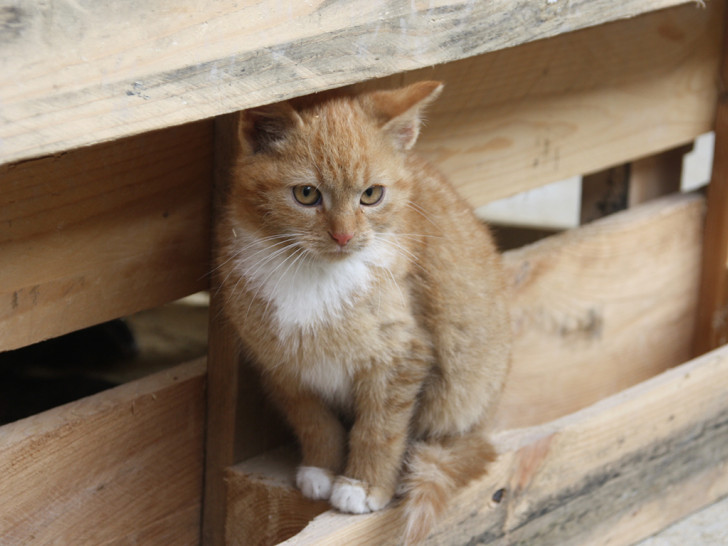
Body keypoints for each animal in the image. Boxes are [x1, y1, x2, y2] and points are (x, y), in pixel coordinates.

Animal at [219, 79, 510, 540]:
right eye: (306, 194)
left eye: (371, 195)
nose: (343, 235)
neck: (315, 276)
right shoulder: (282, 366)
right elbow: (314, 421)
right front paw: (321, 468)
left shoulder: (402, 356)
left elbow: (380, 428)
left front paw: (363, 485)